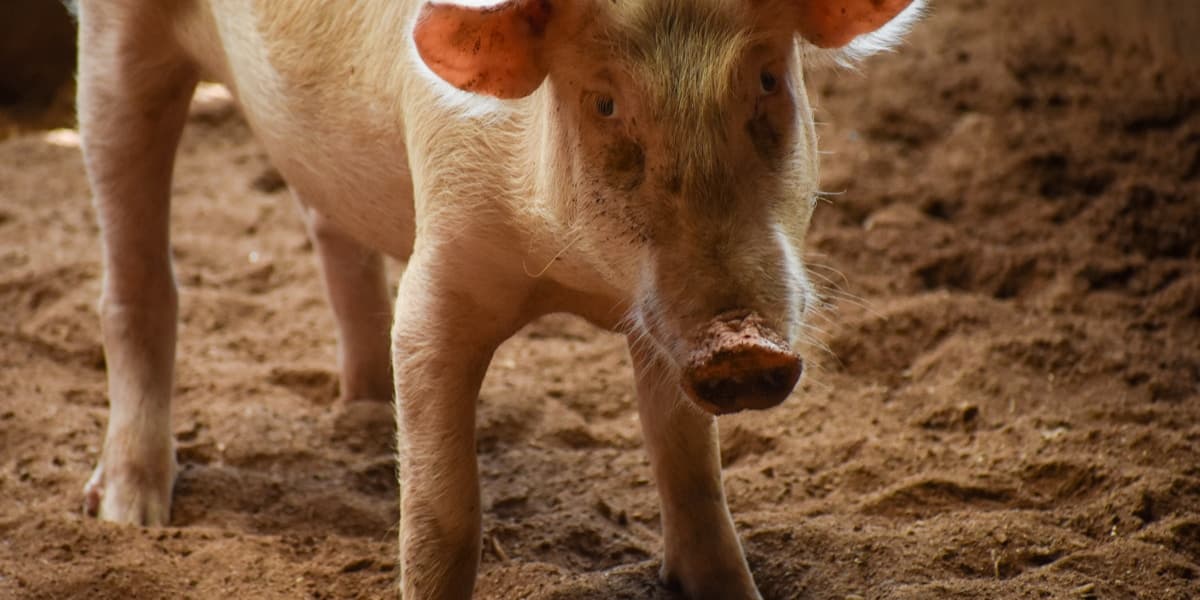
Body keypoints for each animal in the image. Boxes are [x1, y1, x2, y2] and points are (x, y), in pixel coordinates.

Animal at [74, 0, 923, 597]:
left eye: (769, 80)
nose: (742, 346)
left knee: (326, 220)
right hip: (116, 45)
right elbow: (444, 517)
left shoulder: (662, 326)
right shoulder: (439, 272)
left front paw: (731, 587)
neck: (574, 276)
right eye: (604, 103)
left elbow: (689, 469)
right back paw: (126, 511)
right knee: (137, 277)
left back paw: (366, 410)